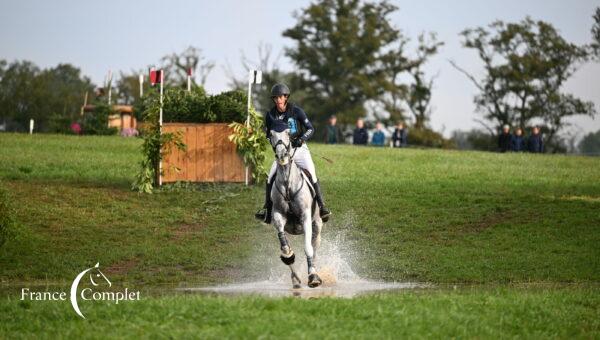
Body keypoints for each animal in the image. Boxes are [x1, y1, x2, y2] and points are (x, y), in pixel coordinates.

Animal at [270, 129, 322, 288]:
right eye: (271, 134)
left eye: (288, 134)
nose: (282, 155)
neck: (288, 183)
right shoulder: (278, 214)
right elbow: (284, 245)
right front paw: (288, 255)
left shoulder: (305, 217)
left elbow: (308, 248)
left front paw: (313, 277)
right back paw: (296, 278)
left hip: (317, 225)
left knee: (314, 248)